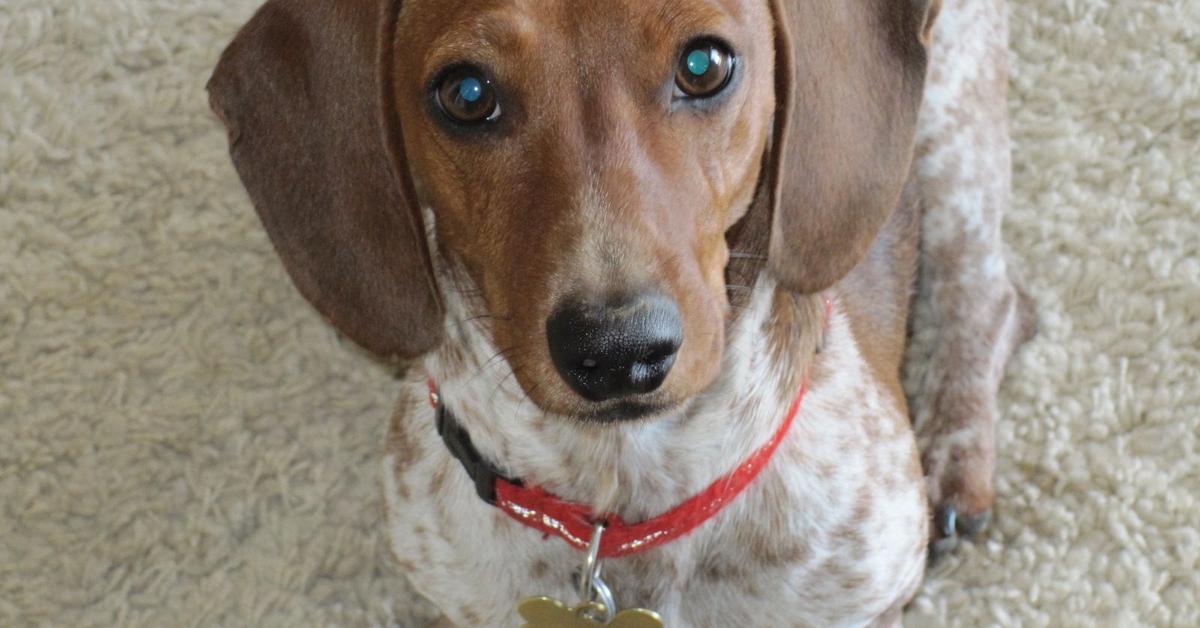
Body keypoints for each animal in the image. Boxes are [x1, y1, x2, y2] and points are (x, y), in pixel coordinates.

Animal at [208, 0, 1032, 624]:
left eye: (704, 65)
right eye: (466, 94)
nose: (617, 349)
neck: (621, 506)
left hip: (951, 131)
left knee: (991, 294)